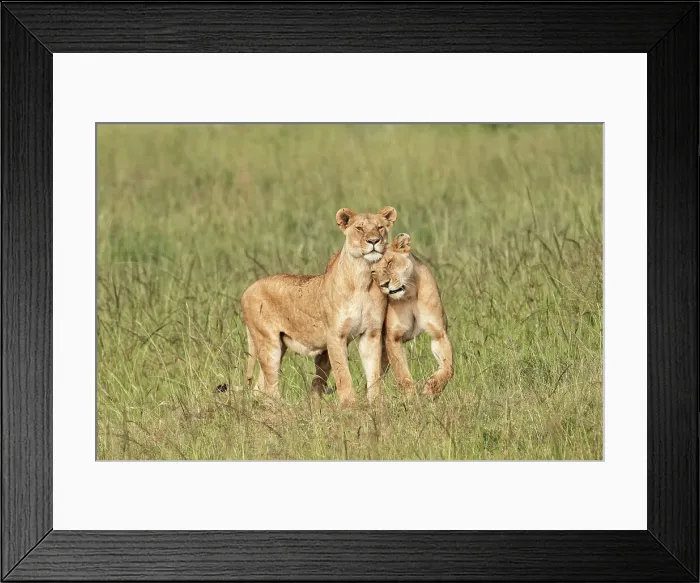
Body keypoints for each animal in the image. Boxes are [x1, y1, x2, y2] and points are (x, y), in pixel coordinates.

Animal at [240, 206, 397, 407]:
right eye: (360, 228)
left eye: (380, 227)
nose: (373, 241)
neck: (363, 277)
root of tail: (248, 289)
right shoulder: (335, 335)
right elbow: (343, 375)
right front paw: (349, 406)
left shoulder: (370, 333)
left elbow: (374, 374)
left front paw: (375, 405)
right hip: (269, 343)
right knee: (270, 387)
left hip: (278, 346)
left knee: (259, 388)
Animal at [371, 233, 453, 397]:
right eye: (373, 272)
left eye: (390, 262)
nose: (384, 285)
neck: (410, 294)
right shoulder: (393, 337)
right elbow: (402, 375)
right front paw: (411, 398)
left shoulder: (439, 333)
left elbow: (449, 368)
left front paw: (432, 388)